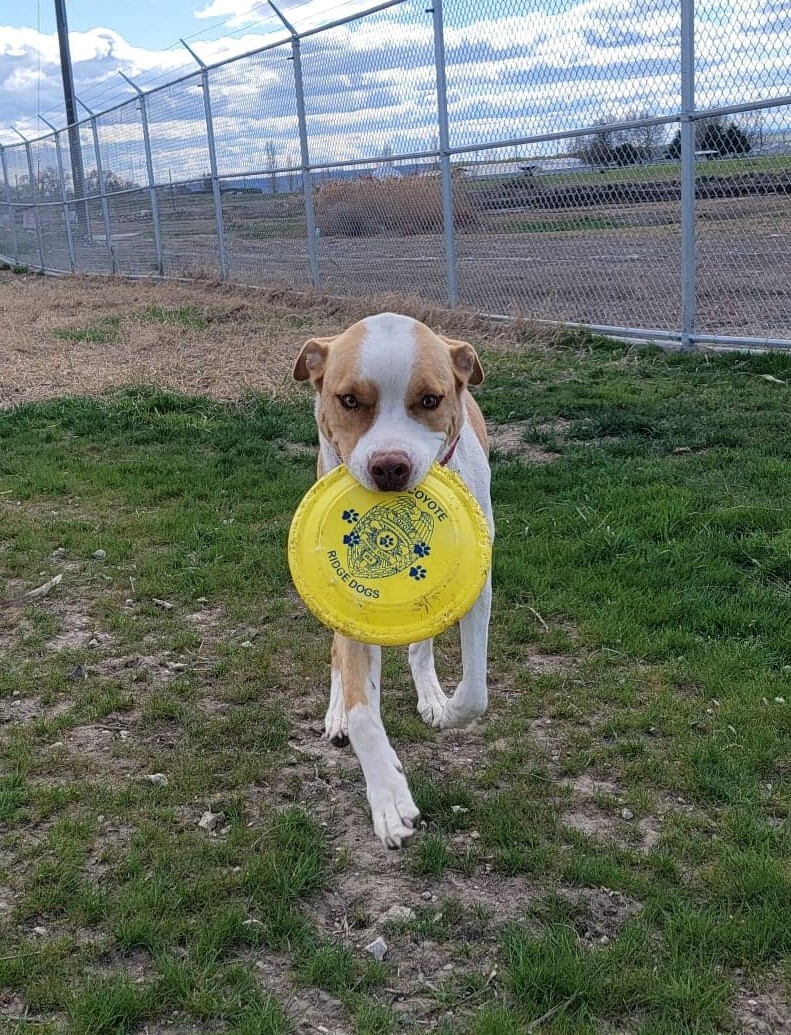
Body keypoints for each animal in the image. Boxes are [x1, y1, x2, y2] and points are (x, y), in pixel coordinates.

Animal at [294, 312, 490, 848]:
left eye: (430, 400)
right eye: (348, 400)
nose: (389, 467)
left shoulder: (478, 581)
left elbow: (475, 691)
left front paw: (447, 710)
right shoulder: (347, 603)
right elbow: (364, 709)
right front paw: (389, 798)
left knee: (421, 645)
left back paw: (431, 694)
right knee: (336, 656)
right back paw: (337, 711)